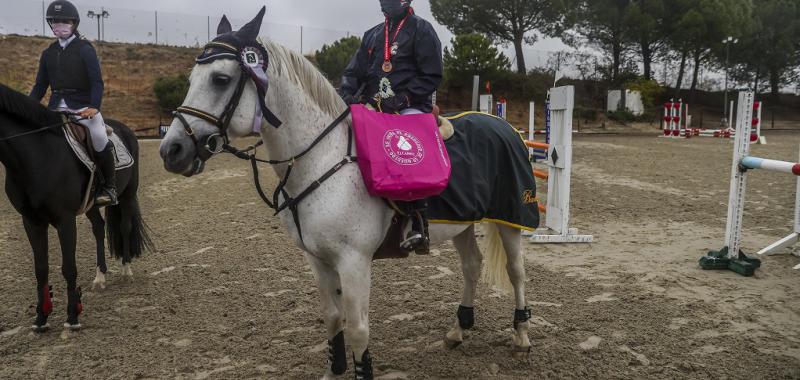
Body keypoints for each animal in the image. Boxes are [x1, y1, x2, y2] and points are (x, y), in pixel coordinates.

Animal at [159, 7, 532, 378]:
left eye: (220, 79)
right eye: (192, 79)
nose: (171, 150)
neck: (323, 158)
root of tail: (504, 126)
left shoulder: (354, 261)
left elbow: (357, 330)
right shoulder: (318, 260)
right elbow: (333, 318)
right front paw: (335, 369)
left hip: (511, 220)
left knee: (516, 271)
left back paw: (521, 336)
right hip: (462, 224)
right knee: (472, 265)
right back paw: (458, 329)